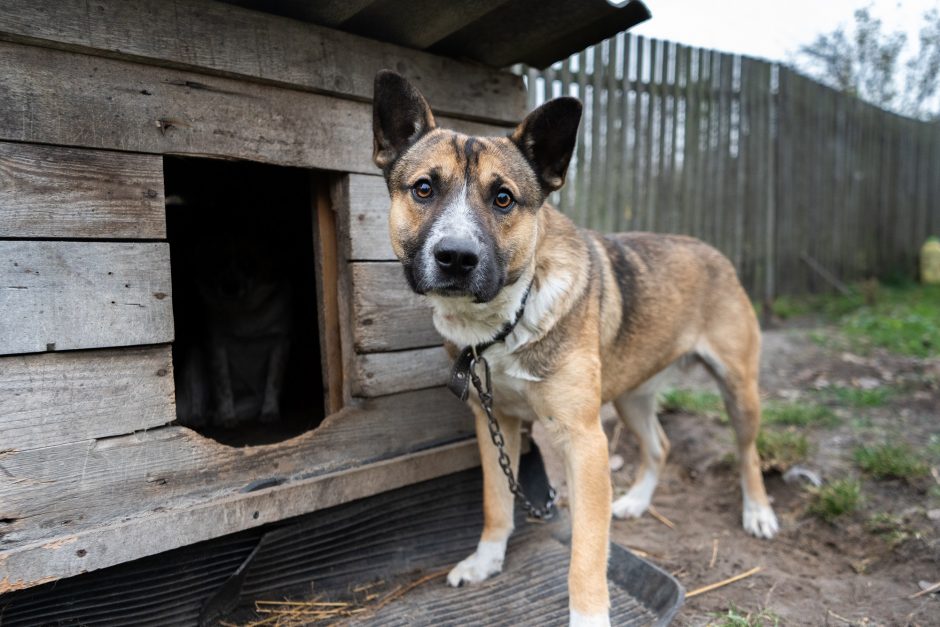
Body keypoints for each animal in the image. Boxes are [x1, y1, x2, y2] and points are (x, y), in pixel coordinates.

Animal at [374, 70, 780, 627]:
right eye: (424, 188)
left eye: (504, 199)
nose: (456, 257)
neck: (506, 321)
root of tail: (713, 251)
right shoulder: (495, 422)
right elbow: (497, 503)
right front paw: (486, 561)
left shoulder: (585, 442)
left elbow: (586, 555)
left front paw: (588, 616)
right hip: (630, 396)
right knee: (660, 445)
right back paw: (634, 502)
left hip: (738, 391)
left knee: (746, 454)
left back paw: (758, 512)